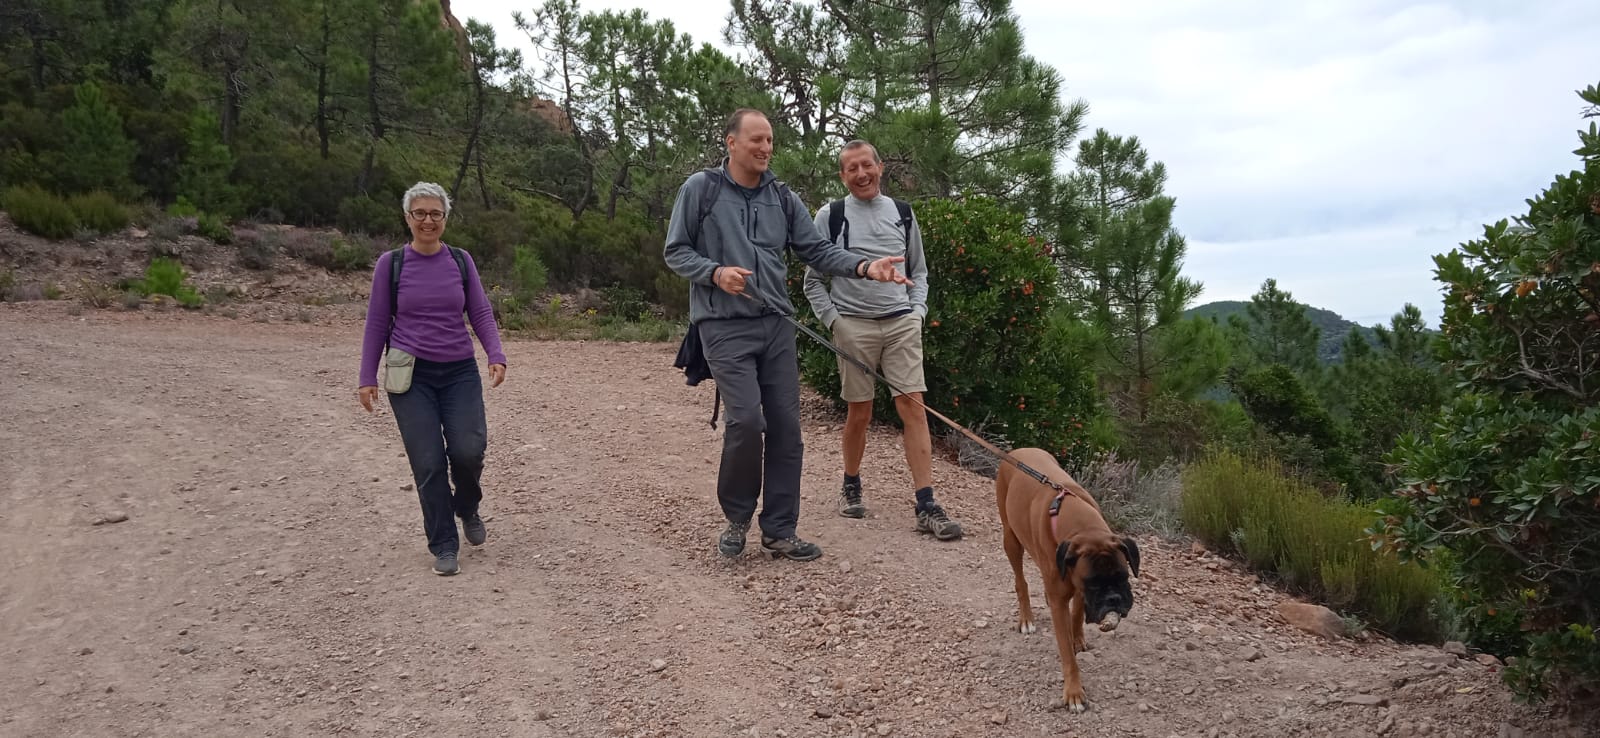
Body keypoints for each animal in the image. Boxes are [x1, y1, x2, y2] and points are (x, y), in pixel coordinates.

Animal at [995, 447, 1140, 713]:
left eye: (1123, 576)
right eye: (1093, 583)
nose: (1114, 599)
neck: (1081, 526)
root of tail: (1019, 450)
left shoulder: (1076, 586)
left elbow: (1078, 613)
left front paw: (1078, 638)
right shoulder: (1066, 598)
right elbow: (1067, 652)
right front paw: (1073, 692)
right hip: (1011, 538)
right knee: (1021, 582)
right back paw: (1026, 618)